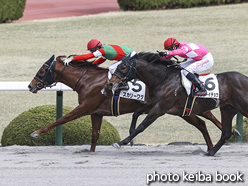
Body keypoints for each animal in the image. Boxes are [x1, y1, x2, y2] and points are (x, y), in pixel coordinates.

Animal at [28, 54, 223, 152]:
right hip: (181, 110)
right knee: (202, 122)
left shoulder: (86, 107)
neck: (87, 80)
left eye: (42, 70)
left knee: (206, 118)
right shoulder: (96, 112)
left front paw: (36, 132)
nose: (30, 85)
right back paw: (213, 146)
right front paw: (91, 152)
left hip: (177, 108)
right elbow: (95, 135)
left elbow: (62, 119)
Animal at [107, 52, 247, 155]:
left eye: (123, 67)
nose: (110, 83)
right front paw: (130, 135)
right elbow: (136, 113)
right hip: (227, 109)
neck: (163, 79)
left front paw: (121, 142)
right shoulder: (155, 105)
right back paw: (212, 150)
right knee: (224, 131)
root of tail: (245, 78)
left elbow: (142, 126)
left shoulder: (160, 108)